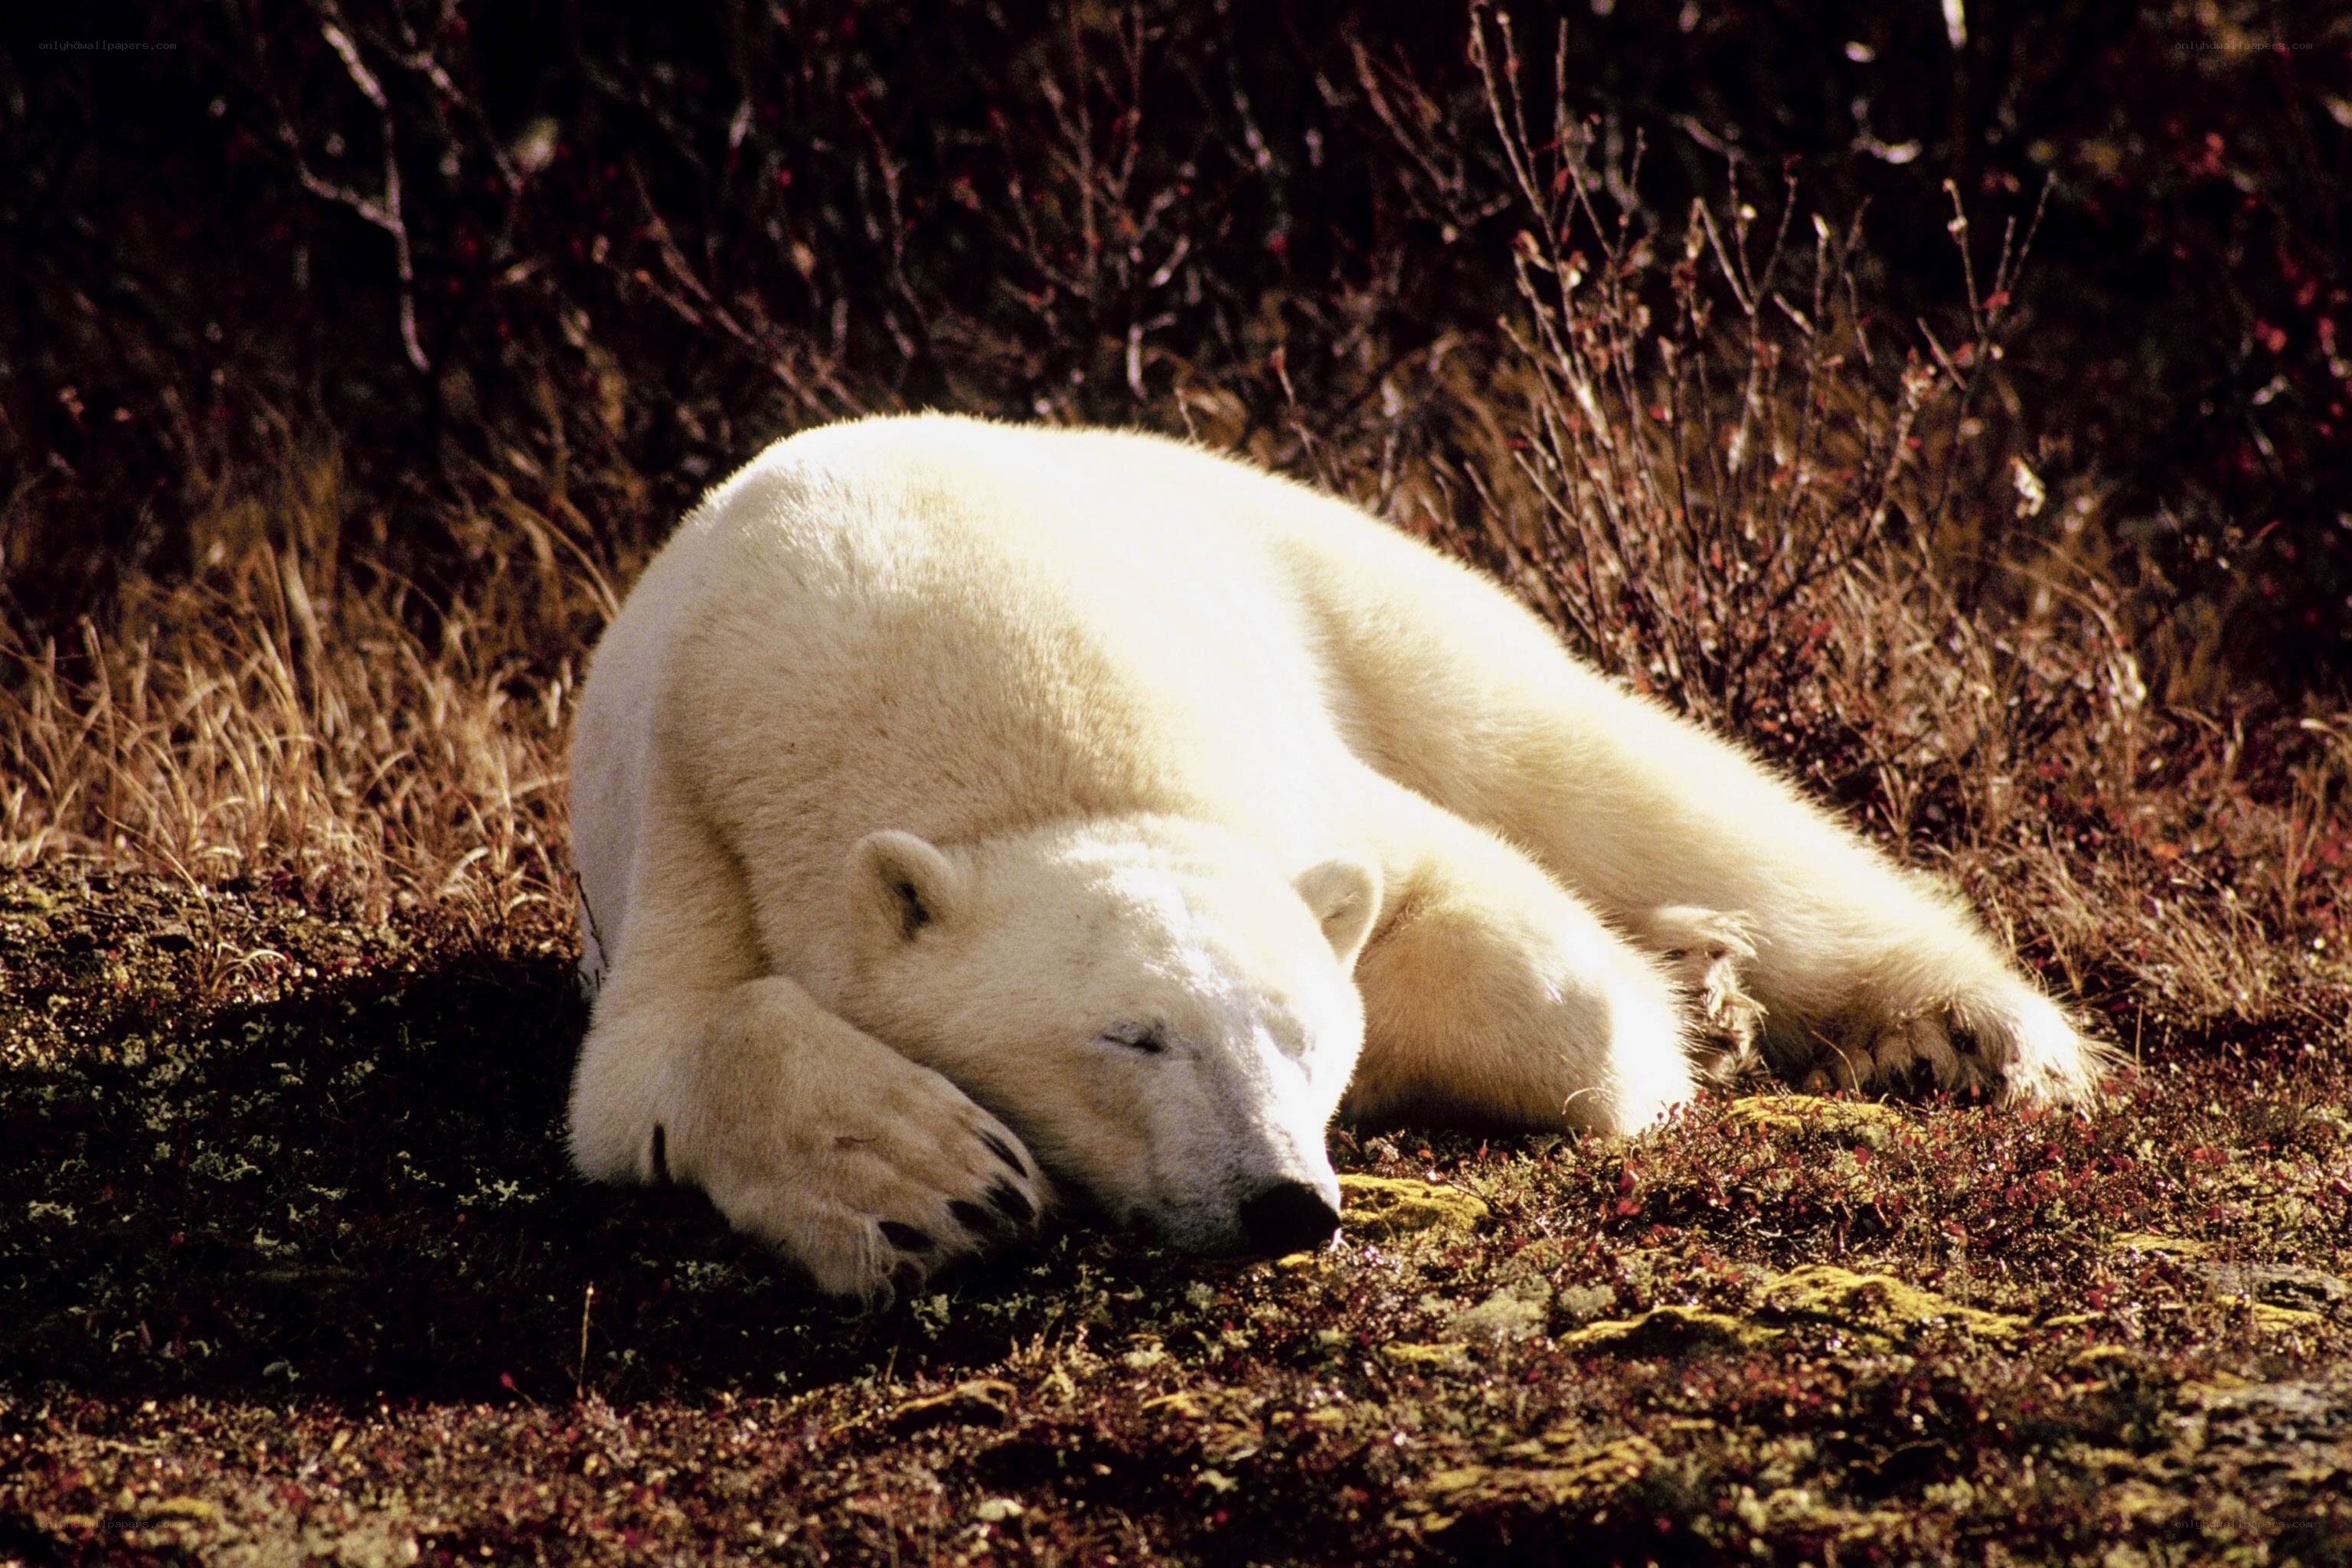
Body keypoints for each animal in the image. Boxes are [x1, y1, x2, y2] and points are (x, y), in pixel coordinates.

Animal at [566, 412, 2102, 1298]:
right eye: (1131, 1036)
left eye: (1302, 1031)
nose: (1283, 1203)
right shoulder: (708, 810)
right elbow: (655, 1058)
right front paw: (928, 1175)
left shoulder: (1281, 756)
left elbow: (1528, 958)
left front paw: (1675, 1020)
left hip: (1348, 583)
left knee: (1602, 770)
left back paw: (1967, 1030)